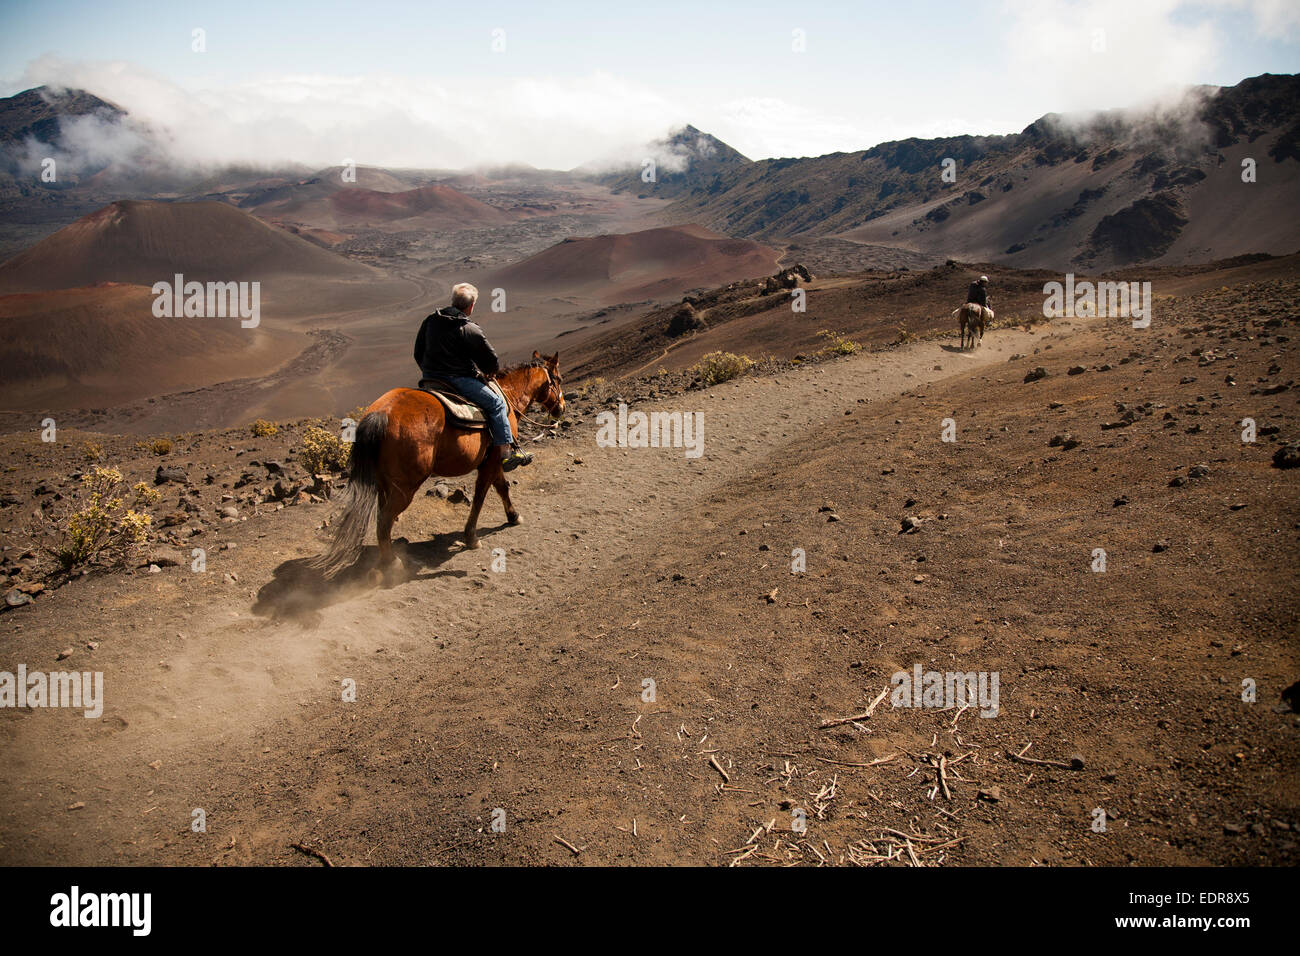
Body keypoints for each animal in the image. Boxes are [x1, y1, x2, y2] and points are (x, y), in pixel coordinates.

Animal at [313, 348, 564, 574]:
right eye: (559, 379)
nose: (561, 408)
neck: (507, 397)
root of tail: (381, 413)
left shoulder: (492, 461)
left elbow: (502, 487)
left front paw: (513, 516)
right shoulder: (492, 461)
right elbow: (481, 496)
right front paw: (471, 537)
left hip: (385, 483)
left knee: (381, 518)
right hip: (405, 487)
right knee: (384, 520)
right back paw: (392, 563)